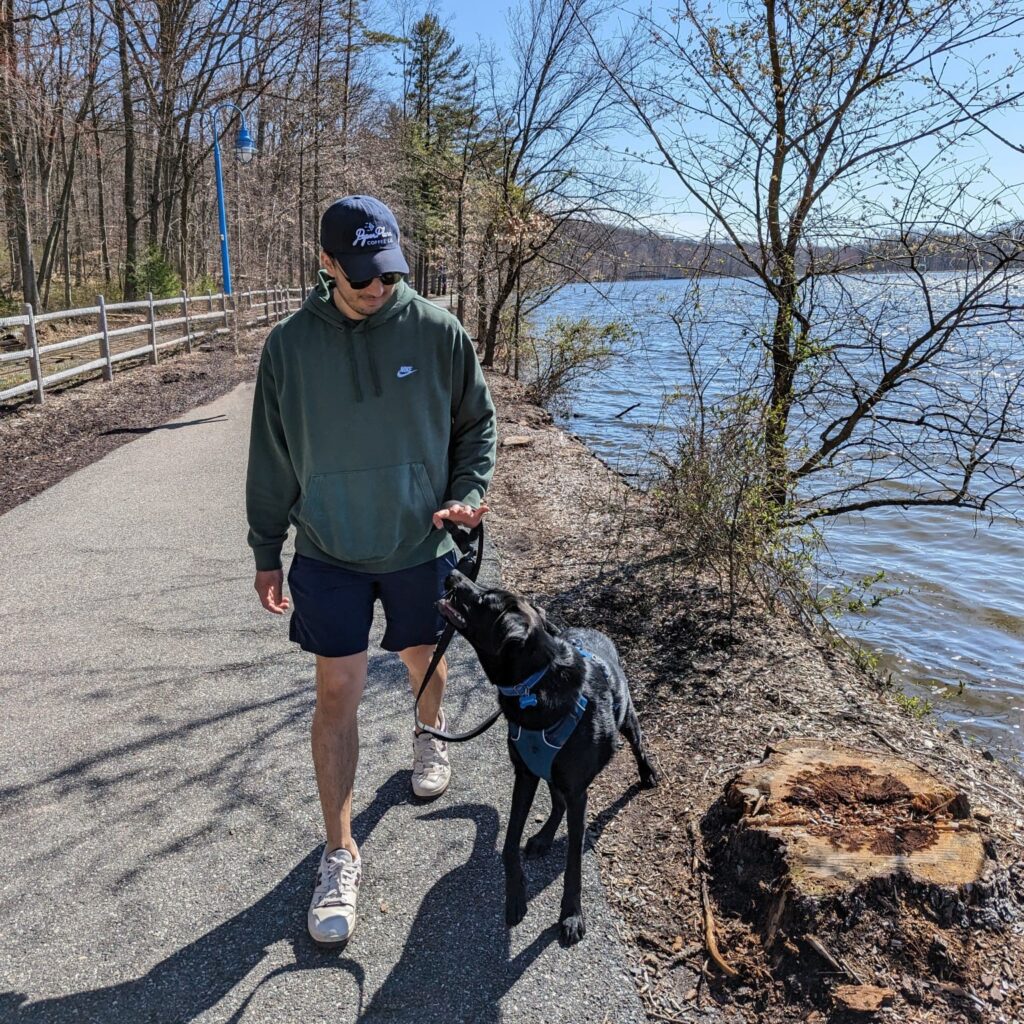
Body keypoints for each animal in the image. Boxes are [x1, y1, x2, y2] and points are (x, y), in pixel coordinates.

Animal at [438, 569, 659, 942]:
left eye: (483, 599)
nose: (453, 573)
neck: (532, 686)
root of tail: (591, 629)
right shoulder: (525, 775)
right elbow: (509, 843)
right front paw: (515, 895)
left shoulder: (578, 792)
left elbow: (574, 862)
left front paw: (571, 914)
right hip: (550, 774)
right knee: (556, 804)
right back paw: (543, 837)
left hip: (626, 717)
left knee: (637, 742)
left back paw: (647, 773)